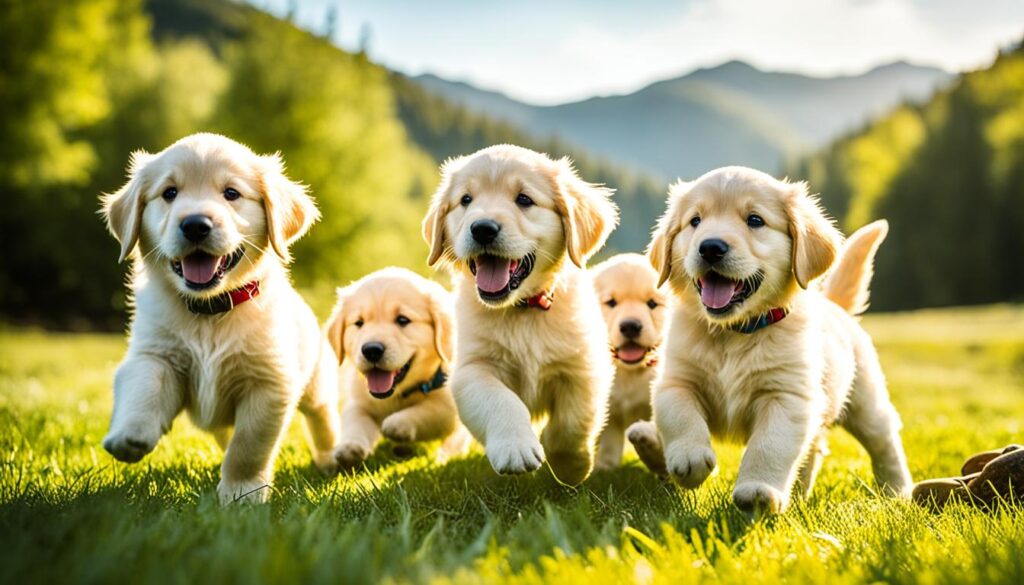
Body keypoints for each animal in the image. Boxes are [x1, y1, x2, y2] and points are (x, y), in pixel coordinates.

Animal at [96, 133, 337, 504]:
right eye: (169, 193)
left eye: (232, 193)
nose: (195, 225)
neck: (209, 312)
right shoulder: (155, 354)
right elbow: (145, 385)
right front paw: (129, 436)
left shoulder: (269, 382)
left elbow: (248, 446)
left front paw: (242, 493)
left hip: (316, 379)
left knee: (322, 415)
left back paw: (336, 454)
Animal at [323, 268, 460, 467]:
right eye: (359, 323)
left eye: (402, 320)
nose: (371, 350)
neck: (395, 394)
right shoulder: (358, 400)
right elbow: (355, 420)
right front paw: (350, 447)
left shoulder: (449, 408)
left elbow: (427, 411)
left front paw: (397, 424)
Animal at [421, 143, 618, 485]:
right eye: (466, 200)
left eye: (524, 199)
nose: (482, 228)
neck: (521, 310)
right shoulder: (472, 368)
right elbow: (500, 400)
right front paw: (516, 447)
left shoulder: (584, 366)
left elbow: (572, 421)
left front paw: (571, 465)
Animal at [589, 255, 667, 471]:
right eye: (611, 302)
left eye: (652, 303)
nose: (630, 326)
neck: (630, 372)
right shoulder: (611, 406)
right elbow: (609, 442)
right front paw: (605, 468)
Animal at [630, 166, 913, 514]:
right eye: (695, 221)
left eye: (755, 220)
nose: (710, 247)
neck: (733, 333)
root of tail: (833, 304)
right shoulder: (675, 379)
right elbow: (679, 413)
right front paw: (689, 457)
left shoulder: (786, 396)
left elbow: (770, 445)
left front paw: (757, 490)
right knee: (813, 449)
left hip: (865, 400)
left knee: (884, 441)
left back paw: (898, 491)